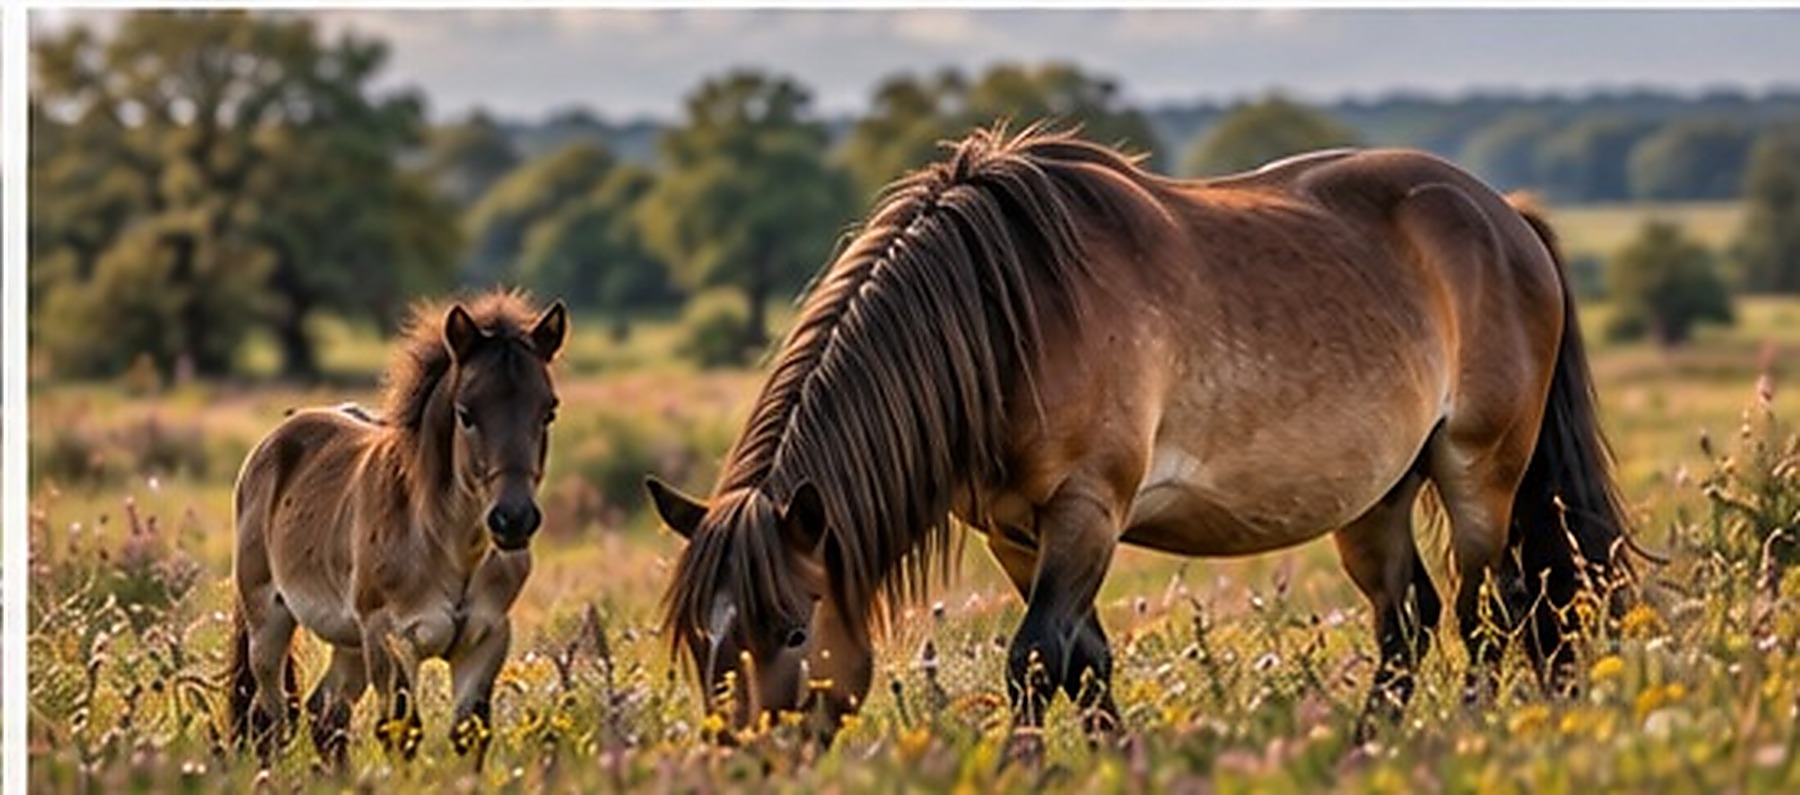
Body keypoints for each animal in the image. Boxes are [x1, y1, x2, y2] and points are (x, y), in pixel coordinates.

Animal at [227, 290, 566, 767]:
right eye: (466, 413)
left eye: (548, 411)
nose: (513, 519)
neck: (449, 544)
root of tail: (272, 443)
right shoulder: (389, 639)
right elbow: (402, 732)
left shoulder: (485, 641)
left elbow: (470, 734)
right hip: (270, 622)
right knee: (270, 717)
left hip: (348, 641)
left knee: (324, 714)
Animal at [647, 125, 1635, 755]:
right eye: (697, 637)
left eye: (790, 626)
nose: (744, 764)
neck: (1010, 315)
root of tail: (1505, 216)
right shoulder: (1013, 531)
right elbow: (1083, 660)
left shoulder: (1087, 507)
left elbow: (1035, 659)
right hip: (1377, 494)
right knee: (1410, 617)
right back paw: (1373, 745)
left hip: (1479, 471)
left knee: (1496, 608)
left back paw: (1477, 727)